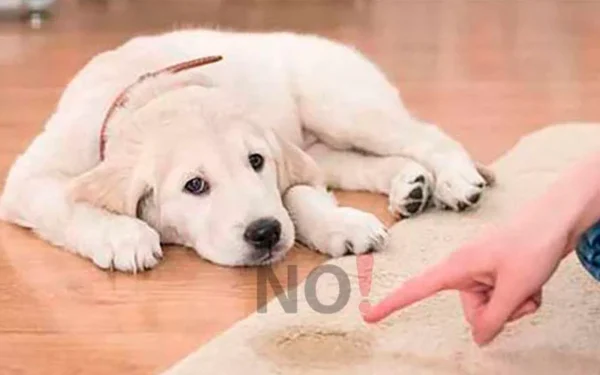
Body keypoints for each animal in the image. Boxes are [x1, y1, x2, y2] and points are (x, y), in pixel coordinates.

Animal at [0, 27, 492, 272]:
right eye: (195, 185)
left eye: (256, 162)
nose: (265, 233)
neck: (151, 91)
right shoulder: (28, 181)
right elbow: (67, 203)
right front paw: (123, 235)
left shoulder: (284, 159)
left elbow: (296, 195)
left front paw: (338, 224)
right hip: (322, 144)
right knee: (358, 164)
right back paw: (410, 185)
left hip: (340, 106)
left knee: (427, 135)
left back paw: (454, 180)